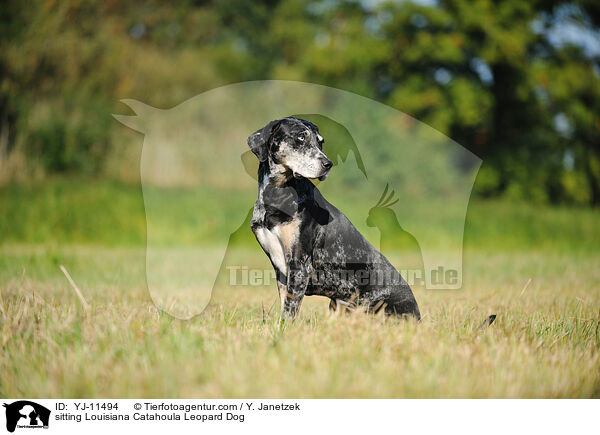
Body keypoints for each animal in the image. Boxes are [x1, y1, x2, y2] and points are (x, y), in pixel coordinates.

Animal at [246, 117, 420, 322]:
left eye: (320, 142)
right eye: (300, 138)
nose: (328, 164)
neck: (276, 196)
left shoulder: (300, 265)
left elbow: (289, 310)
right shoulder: (281, 271)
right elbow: (284, 305)